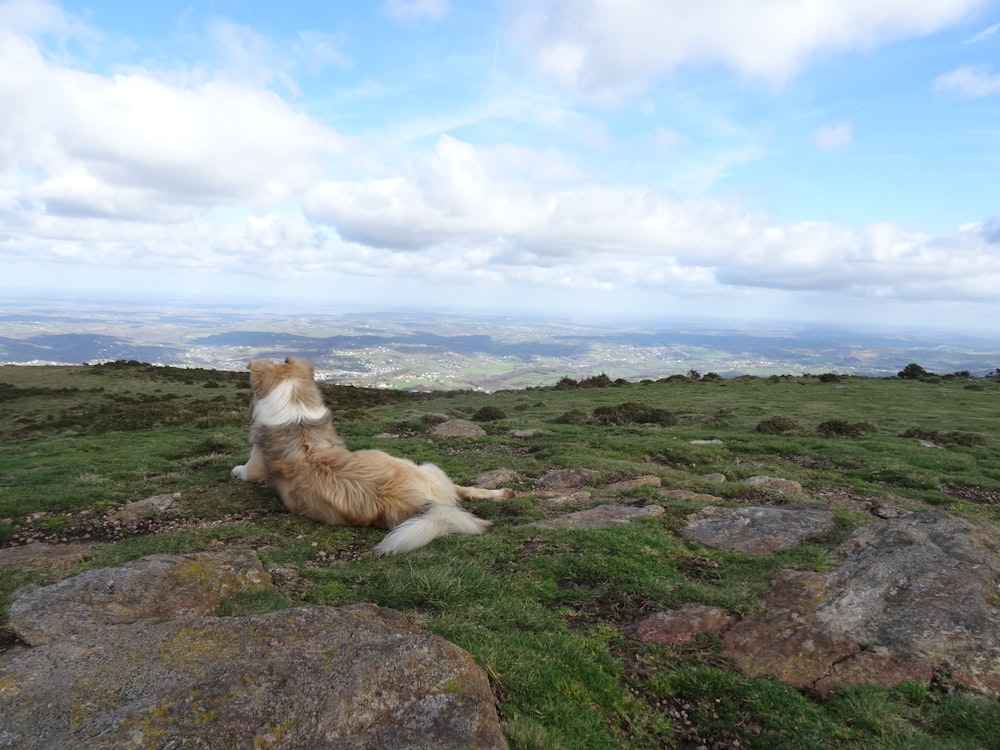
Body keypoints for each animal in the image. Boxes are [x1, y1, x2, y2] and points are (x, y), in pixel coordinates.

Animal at [230, 356, 512, 556]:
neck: (298, 419)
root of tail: (420, 500)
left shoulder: (255, 466)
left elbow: (243, 471)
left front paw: (234, 470)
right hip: (429, 470)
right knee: (464, 490)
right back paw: (501, 494)